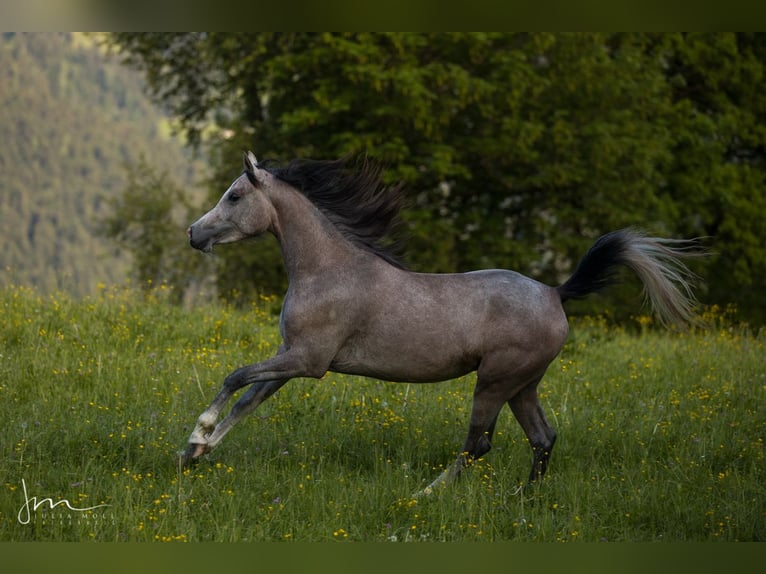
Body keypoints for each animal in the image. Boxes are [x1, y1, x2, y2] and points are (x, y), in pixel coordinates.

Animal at [182, 152, 704, 496]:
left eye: (234, 195)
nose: (192, 233)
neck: (329, 270)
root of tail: (555, 294)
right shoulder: (291, 360)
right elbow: (247, 401)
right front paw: (195, 453)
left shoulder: (308, 361)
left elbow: (235, 378)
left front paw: (196, 436)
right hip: (524, 384)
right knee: (543, 438)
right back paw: (525, 499)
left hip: (495, 381)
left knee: (478, 445)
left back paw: (425, 495)